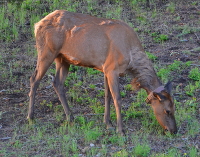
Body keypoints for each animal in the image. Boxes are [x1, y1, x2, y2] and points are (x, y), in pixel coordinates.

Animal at [27, 9, 177, 135]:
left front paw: (108, 123)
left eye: (174, 108)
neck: (131, 56)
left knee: (57, 82)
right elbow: (117, 98)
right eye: (167, 110)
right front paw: (120, 130)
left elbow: (107, 95)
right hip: (46, 51)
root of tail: (37, 24)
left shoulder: (105, 68)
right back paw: (30, 116)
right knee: (34, 79)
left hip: (63, 58)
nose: (173, 130)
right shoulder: (112, 68)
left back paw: (70, 116)